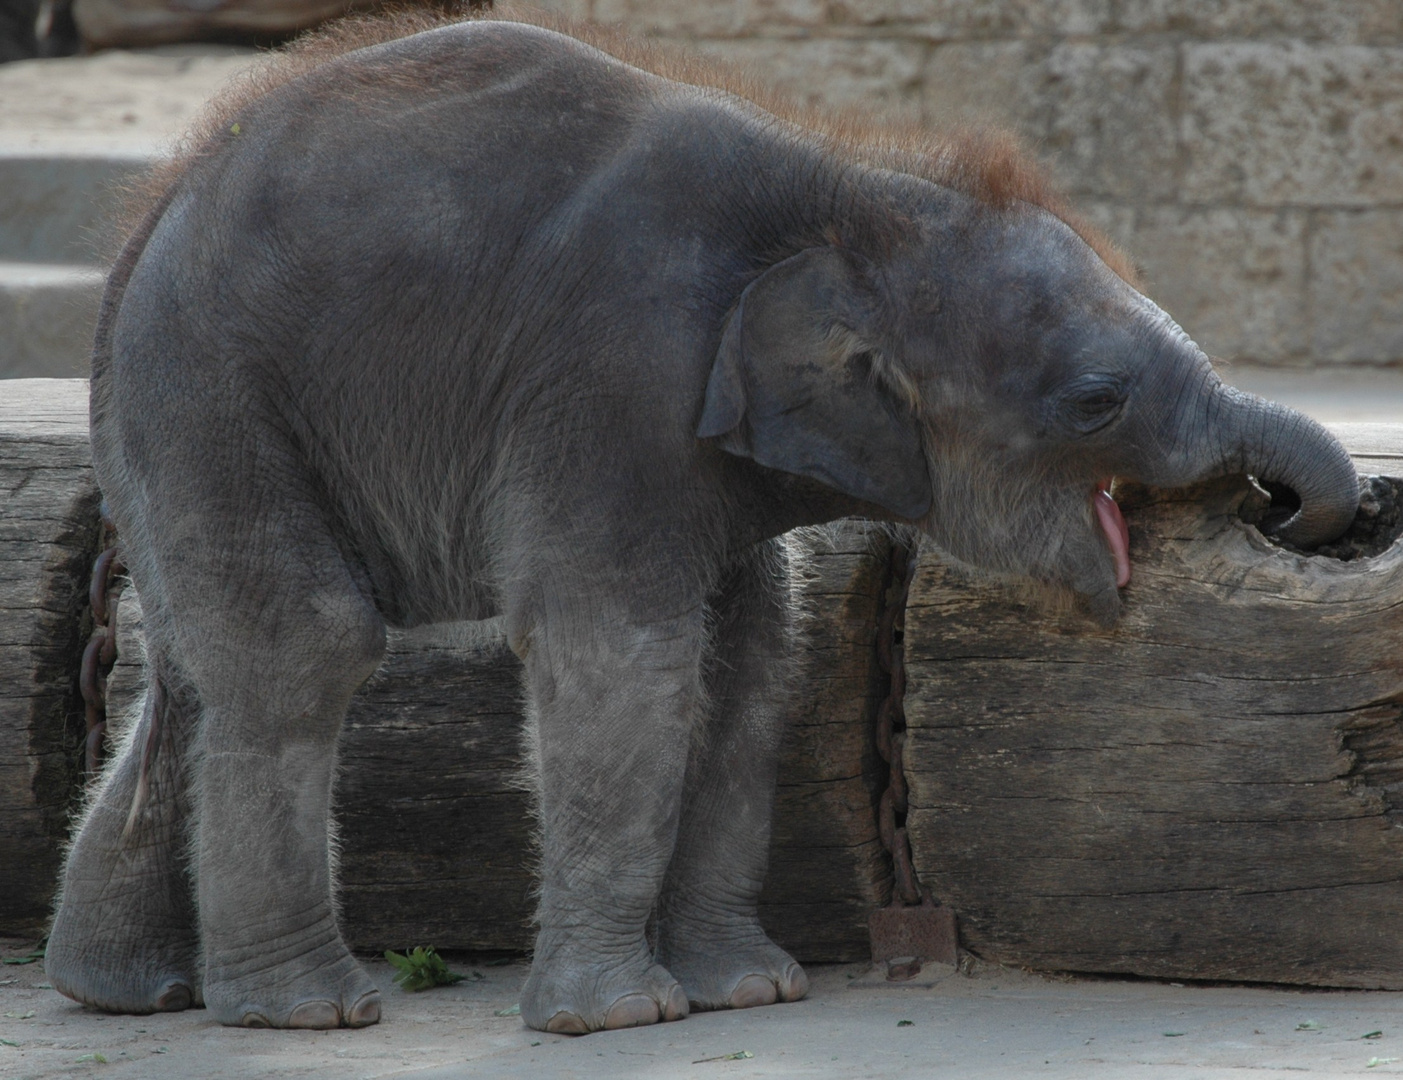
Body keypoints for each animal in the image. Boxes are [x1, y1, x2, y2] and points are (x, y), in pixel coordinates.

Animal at [49, 12, 1363, 1032]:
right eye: (1094, 400)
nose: (1310, 513)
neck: (854, 194)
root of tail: (144, 219)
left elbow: (745, 668)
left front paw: (751, 995)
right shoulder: (609, 387)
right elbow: (626, 659)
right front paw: (623, 1018)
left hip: (182, 430)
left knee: (192, 675)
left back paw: (125, 992)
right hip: (213, 391)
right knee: (304, 649)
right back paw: (310, 1010)